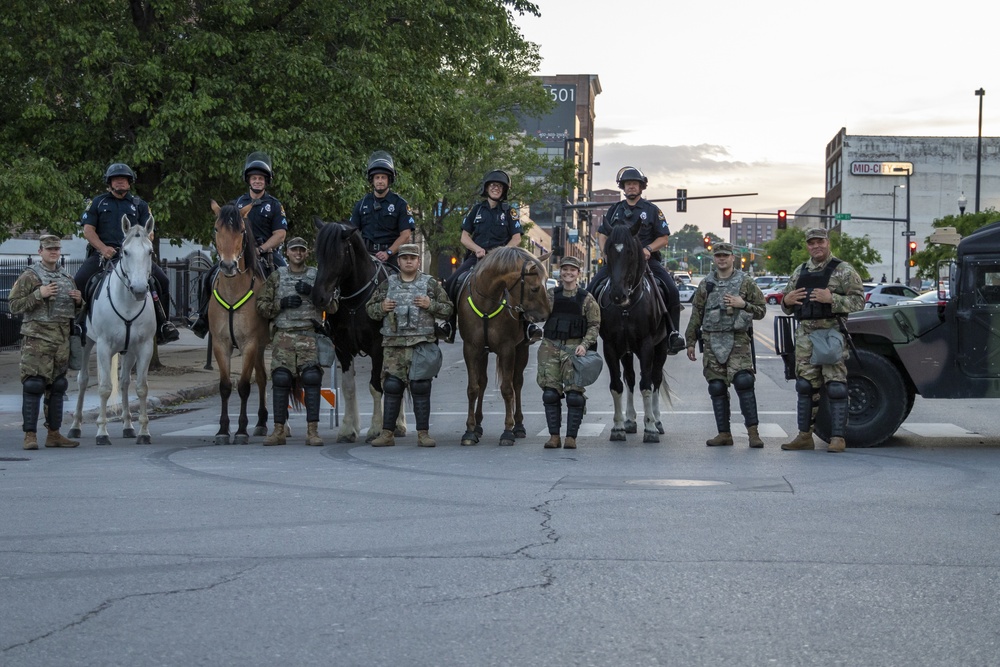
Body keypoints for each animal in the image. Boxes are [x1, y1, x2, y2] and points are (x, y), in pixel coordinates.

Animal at [68, 215, 157, 444]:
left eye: (150, 251)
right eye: (125, 252)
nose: (140, 290)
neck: (127, 303)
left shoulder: (144, 347)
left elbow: (141, 388)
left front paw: (144, 432)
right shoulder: (104, 346)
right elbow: (104, 388)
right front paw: (102, 432)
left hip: (129, 351)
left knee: (125, 382)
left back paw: (128, 426)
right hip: (87, 343)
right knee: (83, 381)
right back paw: (75, 426)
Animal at [207, 201, 270, 446]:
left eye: (241, 231)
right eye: (217, 229)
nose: (227, 265)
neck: (233, 291)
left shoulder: (249, 344)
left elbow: (243, 386)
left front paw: (241, 430)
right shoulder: (220, 344)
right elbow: (225, 386)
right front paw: (223, 430)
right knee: (262, 378)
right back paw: (261, 422)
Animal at [308, 219, 402, 444]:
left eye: (337, 255)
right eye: (318, 253)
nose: (319, 297)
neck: (355, 300)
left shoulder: (377, 347)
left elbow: (375, 386)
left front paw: (376, 429)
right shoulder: (342, 348)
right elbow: (349, 387)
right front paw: (347, 429)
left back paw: (400, 425)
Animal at [458, 248, 552, 446]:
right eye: (535, 288)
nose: (546, 315)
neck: (487, 301)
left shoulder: (507, 348)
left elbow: (507, 389)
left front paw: (508, 431)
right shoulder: (471, 348)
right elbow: (473, 388)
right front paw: (469, 430)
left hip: (521, 349)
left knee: (517, 383)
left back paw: (519, 425)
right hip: (484, 352)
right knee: (483, 382)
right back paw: (478, 425)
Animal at [596, 224, 668, 444]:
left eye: (630, 252)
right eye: (609, 251)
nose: (617, 295)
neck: (626, 307)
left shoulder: (647, 345)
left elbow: (646, 385)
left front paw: (650, 428)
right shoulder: (611, 346)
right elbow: (617, 385)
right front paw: (618, 426)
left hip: (661, 347)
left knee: (655, 378)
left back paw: (657, 420)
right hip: (626, 351)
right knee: (629, 377)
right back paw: (629, 420)